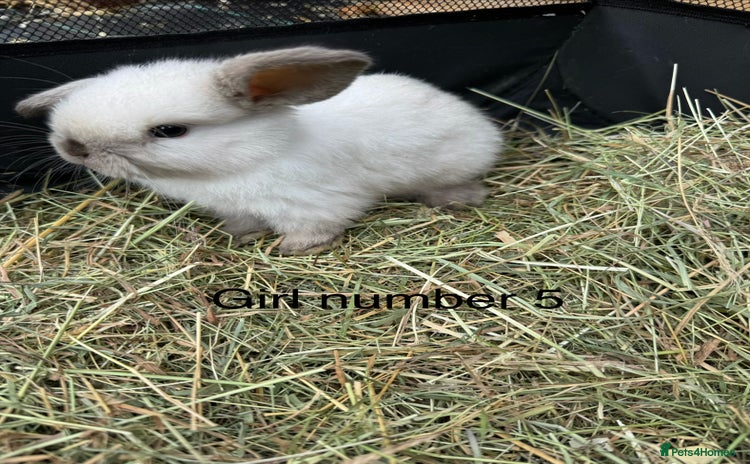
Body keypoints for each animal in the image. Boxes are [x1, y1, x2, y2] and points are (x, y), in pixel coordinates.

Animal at [15, 46, 502, 255]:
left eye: (170, 130)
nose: (72, 147)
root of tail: (481, 124)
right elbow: (243, 222)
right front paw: (240, 235)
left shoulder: (311, 205)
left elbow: (316, 228)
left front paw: (292, 249)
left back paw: (457, 199)